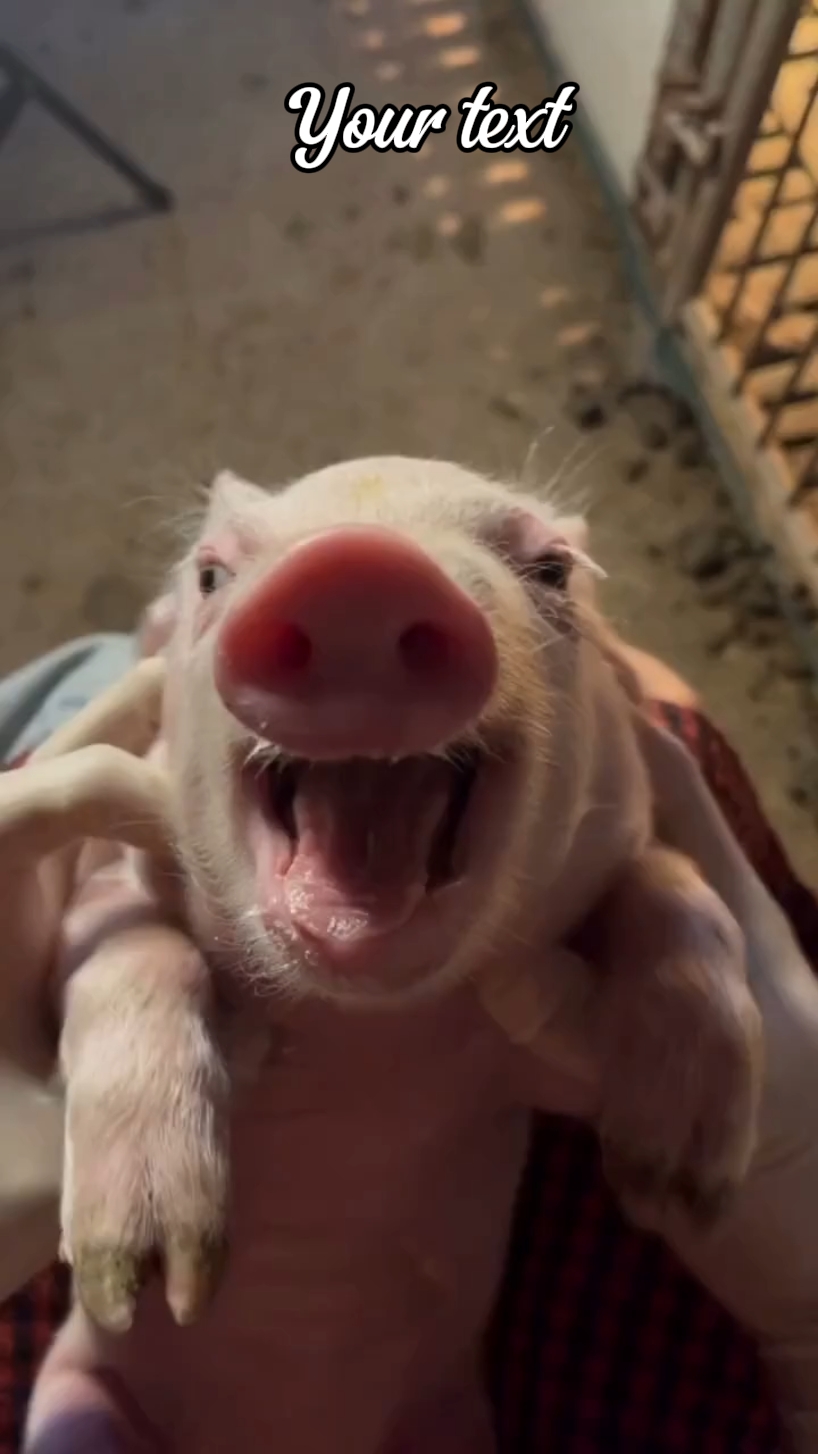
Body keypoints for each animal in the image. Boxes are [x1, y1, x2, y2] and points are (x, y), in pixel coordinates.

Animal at [26, 457, 762, 1454]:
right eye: (211, 574)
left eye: (553, 570)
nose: (358, 567)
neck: (369, 1029)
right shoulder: (104, 875)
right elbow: (129, 948)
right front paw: (145, 1278)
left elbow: (677, 887)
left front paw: (678, 1189)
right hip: (76, 1401)